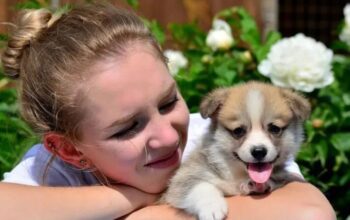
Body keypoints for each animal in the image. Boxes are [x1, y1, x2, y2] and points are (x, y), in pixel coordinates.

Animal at [161, 81, 308, 220]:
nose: (259, 151)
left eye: (275, 129)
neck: (238, 175)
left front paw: (258, 185)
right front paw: (212, 208)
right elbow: (199, 186)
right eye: (238, 131)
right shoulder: (185, 177)